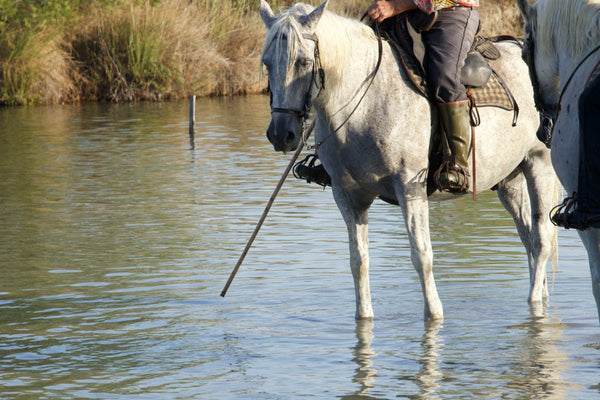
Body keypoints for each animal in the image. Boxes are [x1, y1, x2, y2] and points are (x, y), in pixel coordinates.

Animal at [260, 0, 556, 318]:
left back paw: (534, 303)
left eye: (303, 62)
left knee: (541, 238)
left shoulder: (410, 188)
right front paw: (364, 318)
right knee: (528, 237)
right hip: (510, 178)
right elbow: (358, 261)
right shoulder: (348, 196)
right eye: (266, 63)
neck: (363, 102)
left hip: (540, 163)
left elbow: (421, 256)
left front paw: (434, 316)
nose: (281, 134)